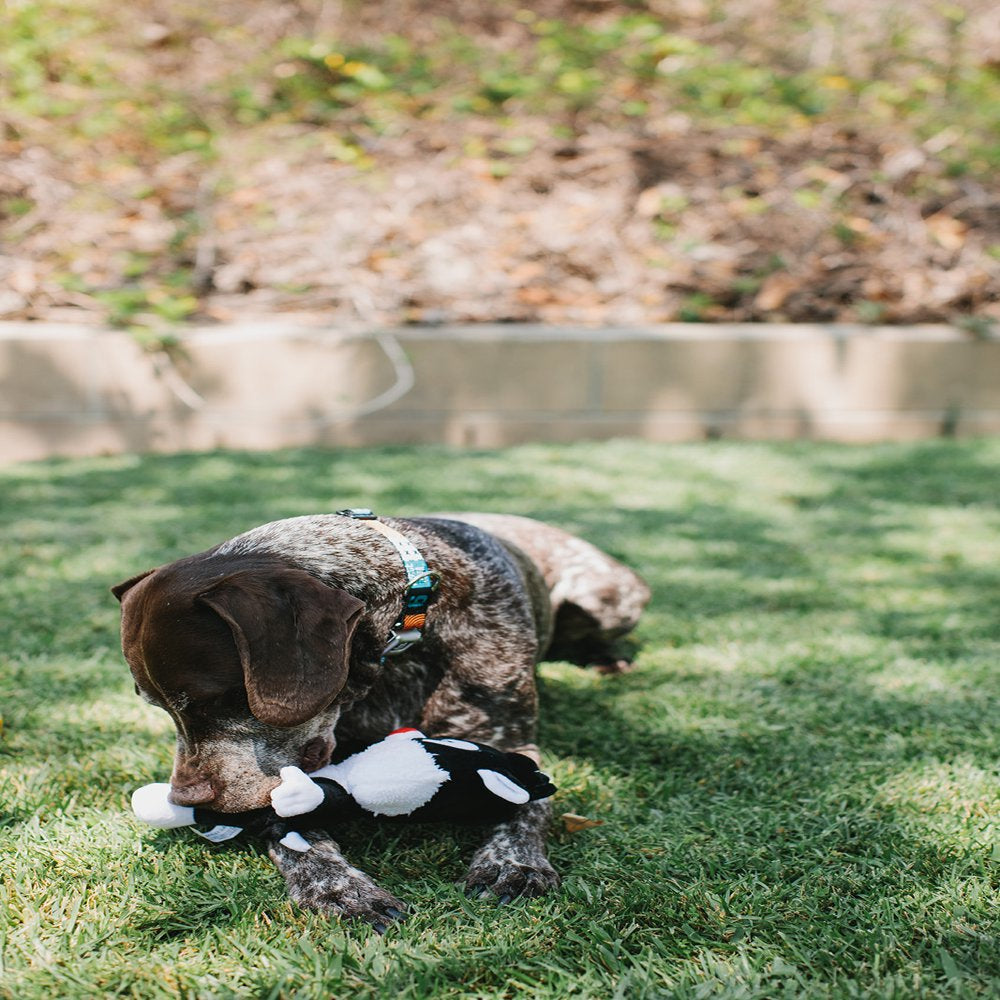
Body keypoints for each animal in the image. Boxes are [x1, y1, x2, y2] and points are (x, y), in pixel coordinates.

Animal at [113, 516, 648, 928]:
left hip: (608, 596)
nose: (185, 799)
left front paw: (513, 863)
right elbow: (294, 831)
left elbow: (528, 806)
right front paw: (338, 888)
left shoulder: (512, 744)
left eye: (211, 701)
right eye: (159, 707)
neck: (408, 624)